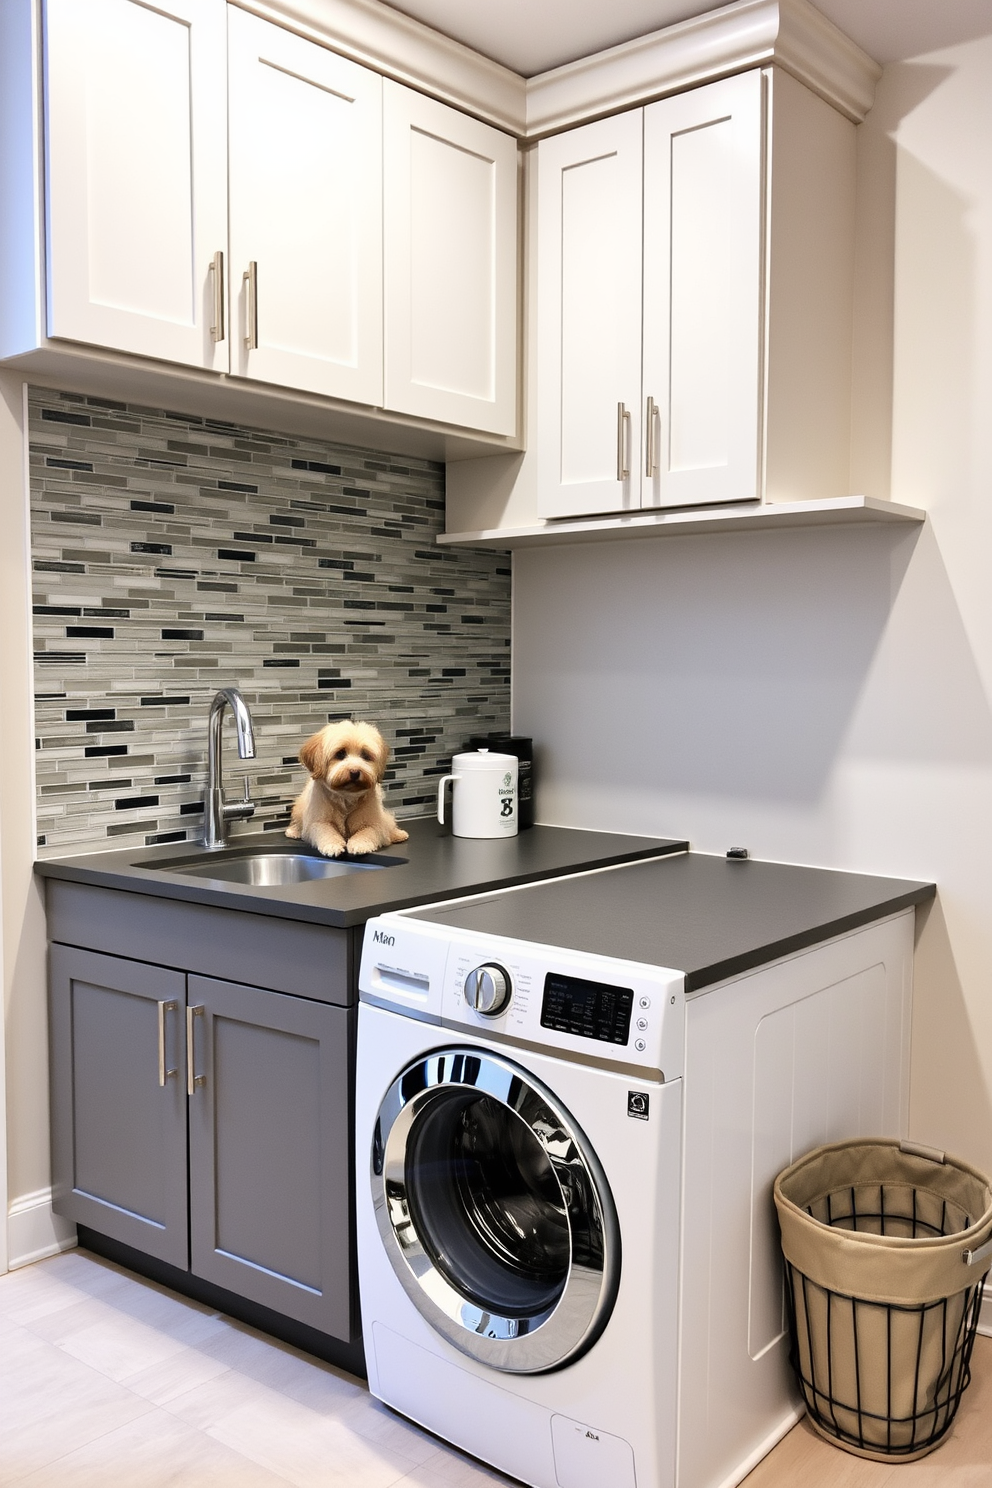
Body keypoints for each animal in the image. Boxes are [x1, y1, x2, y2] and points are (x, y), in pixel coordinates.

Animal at [285, 720, 410, 863]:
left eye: (365, 755)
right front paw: (332, 845)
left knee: (388, 823)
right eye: (340, 754)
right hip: (299, 807)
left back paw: (397, 834)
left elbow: (367, 832)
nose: (355, 772)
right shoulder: (318, 821)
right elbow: (326, 832)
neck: (346, 797)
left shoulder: (373, 823)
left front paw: (359, 844)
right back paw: (293, 831)